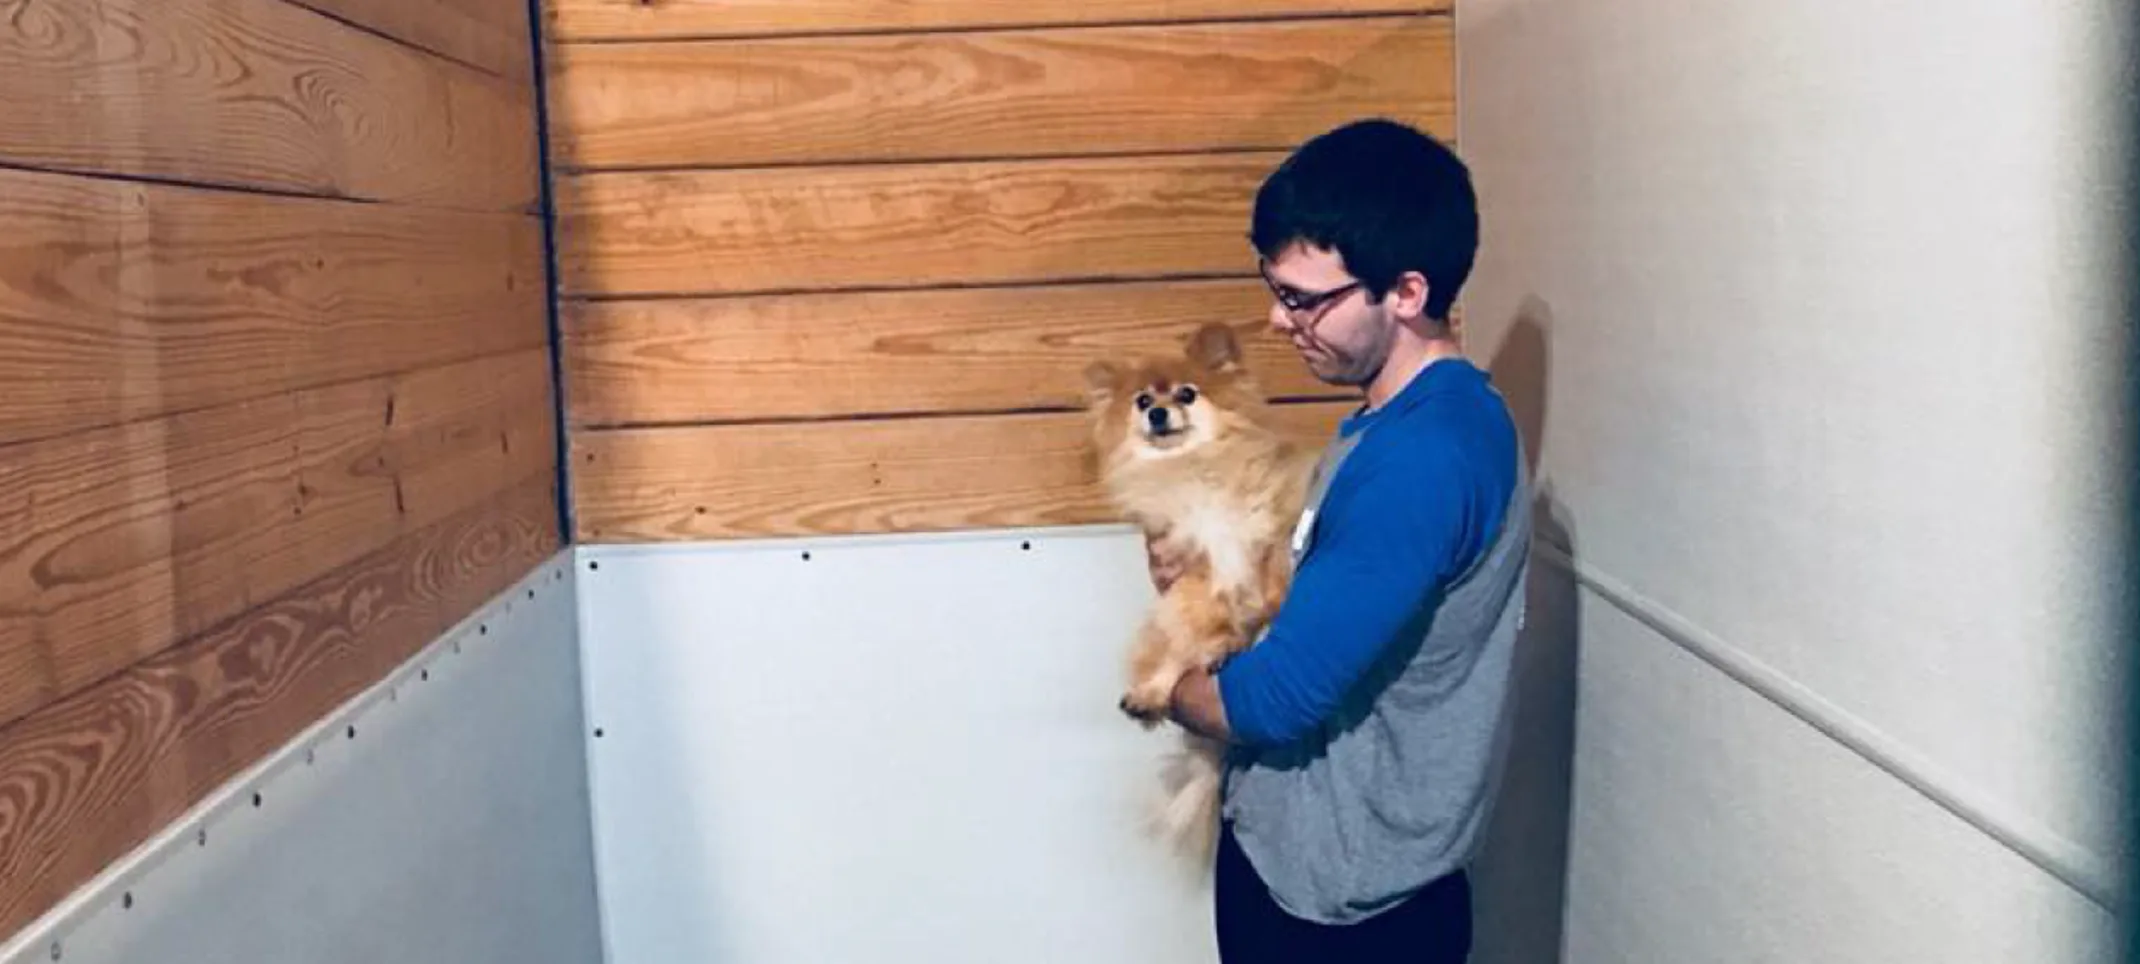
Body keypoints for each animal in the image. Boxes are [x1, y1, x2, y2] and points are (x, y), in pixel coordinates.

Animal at [1087, 319, 1318, 861]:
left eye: (1186, 394)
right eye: (1141, 400)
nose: (1157, 412)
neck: (1195, 472)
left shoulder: (1269, 537)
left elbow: (1273, 598)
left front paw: (1256, 631)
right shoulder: (1194, 571)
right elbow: (1194, 627)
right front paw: (1186, 666)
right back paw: (1155, 691)